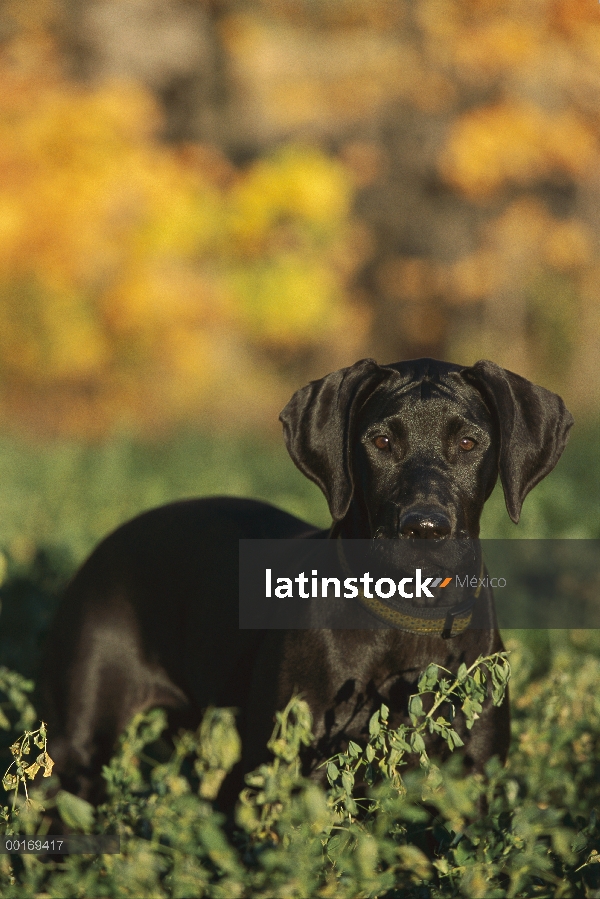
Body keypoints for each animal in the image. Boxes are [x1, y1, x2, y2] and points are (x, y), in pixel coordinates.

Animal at [39, 358, 576, 800]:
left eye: (468, 442)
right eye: (380, 442)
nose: (424, 528)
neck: (408, 618)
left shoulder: (475, 777)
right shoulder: (281, 768)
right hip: (84, 736)